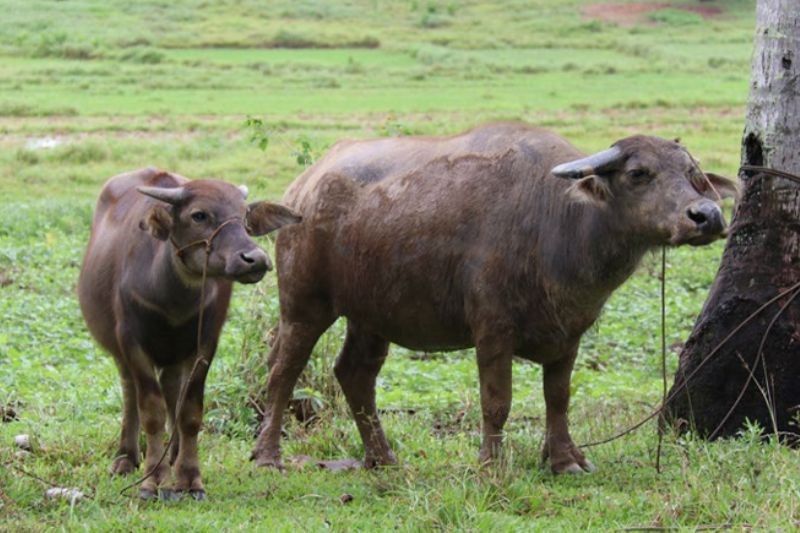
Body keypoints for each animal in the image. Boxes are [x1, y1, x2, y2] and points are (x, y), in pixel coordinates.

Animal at [79, 168, 300, 496]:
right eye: (199, 215)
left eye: (244, 216)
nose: (255, 259)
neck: (171, 298)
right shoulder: (131, 343)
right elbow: (152, 411)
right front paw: (153, 480)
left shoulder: (205, 344)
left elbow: (190, 411)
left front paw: (189, 477)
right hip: (121, 351)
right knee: (130, 391)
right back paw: (126, 457)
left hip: (174, 353)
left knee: (172, 390)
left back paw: (172, 455)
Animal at [252, 122, 736, 472]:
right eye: (639, 173)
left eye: (694, 176)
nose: (707, 216)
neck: (561, 224)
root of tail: (305, 187)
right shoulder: (493, 330)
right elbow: (497, 401)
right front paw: (492, 464)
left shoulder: (570, 334)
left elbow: (558, 398)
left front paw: (565, 460)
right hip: (305, 304)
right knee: (283, 371)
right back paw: (268, 456)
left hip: (371, 316)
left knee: (355, 374)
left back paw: (382, 458)